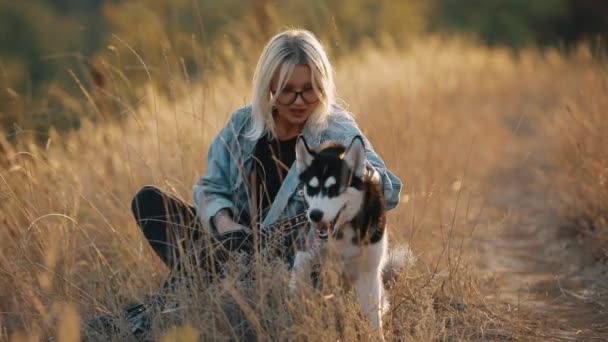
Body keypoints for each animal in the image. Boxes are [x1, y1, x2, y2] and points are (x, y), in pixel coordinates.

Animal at [292, 135, 392, 336]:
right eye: (311, 188)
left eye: (334, 189)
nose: (315, 215)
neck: (344, 230)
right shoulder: (312, 264)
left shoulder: (368, 273)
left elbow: (373, 321)